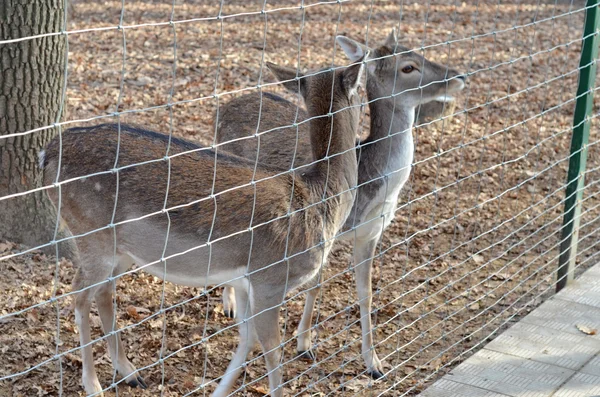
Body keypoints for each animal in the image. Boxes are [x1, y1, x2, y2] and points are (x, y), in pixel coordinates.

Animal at [41, 53, 366, 396]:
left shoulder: (247, 282)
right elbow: (272, 351)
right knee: (78, 295)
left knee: (103, 291)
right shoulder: (270, 277)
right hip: (91, 233)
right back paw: (93, 384)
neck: (322, 201)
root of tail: (45, 154)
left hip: (120, 249)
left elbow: (246, 338)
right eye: (362, 90)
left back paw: (129, 372)